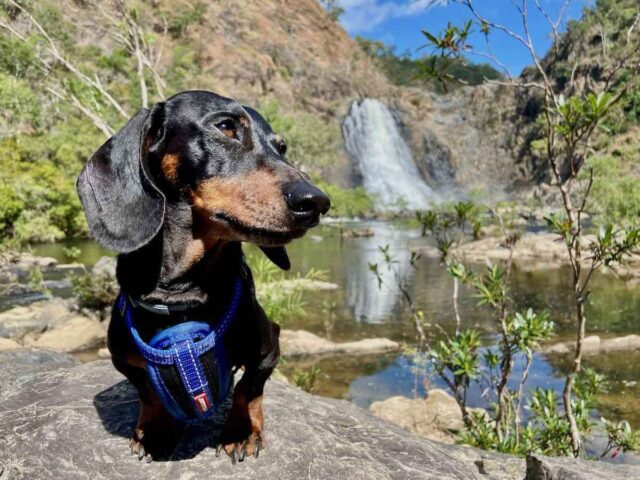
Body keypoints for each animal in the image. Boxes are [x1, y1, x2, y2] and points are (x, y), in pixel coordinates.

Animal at [76, 90, 330, 462]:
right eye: (226, 128)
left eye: (281, 147)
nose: (317, 202)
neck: (180, 294)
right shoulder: (122, 358)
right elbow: (147, 392)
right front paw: (156, 429)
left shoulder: (270, 345)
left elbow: (249, 387)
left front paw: (241, 430)